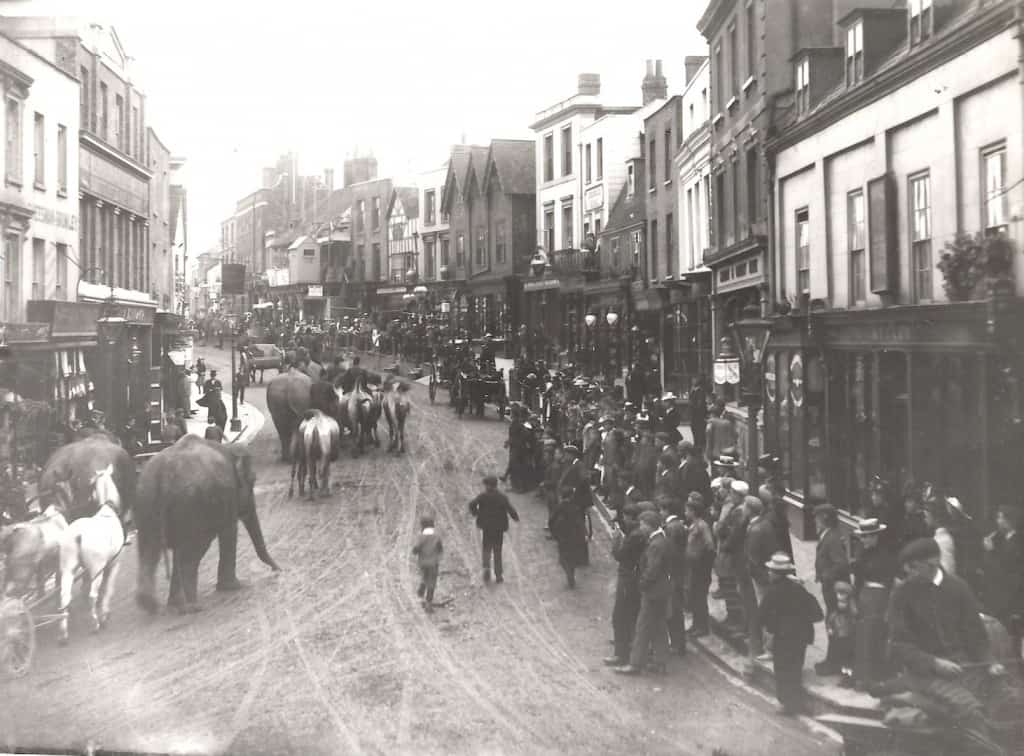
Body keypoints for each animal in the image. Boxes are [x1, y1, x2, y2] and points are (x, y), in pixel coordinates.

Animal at [57, 458, 124, 643]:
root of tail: (78, 534)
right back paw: (96, 623)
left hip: (68, 570)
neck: (107, 511)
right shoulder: (114, 564)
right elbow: (108, 589)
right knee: (92, 595)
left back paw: (64, 634)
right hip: (97, 569)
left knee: (65, 597)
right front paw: (105, 613)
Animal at [136, 430, 282, 614]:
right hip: (191, 507)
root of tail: (163, 475)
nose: (278, 570)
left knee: (149, 551)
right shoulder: (228, 495)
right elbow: (229, 531)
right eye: (253, 480)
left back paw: (155, 605)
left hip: (147, 502)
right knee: (192, 552)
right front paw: (235, 586)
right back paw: (193, 606)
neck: (228, 449)